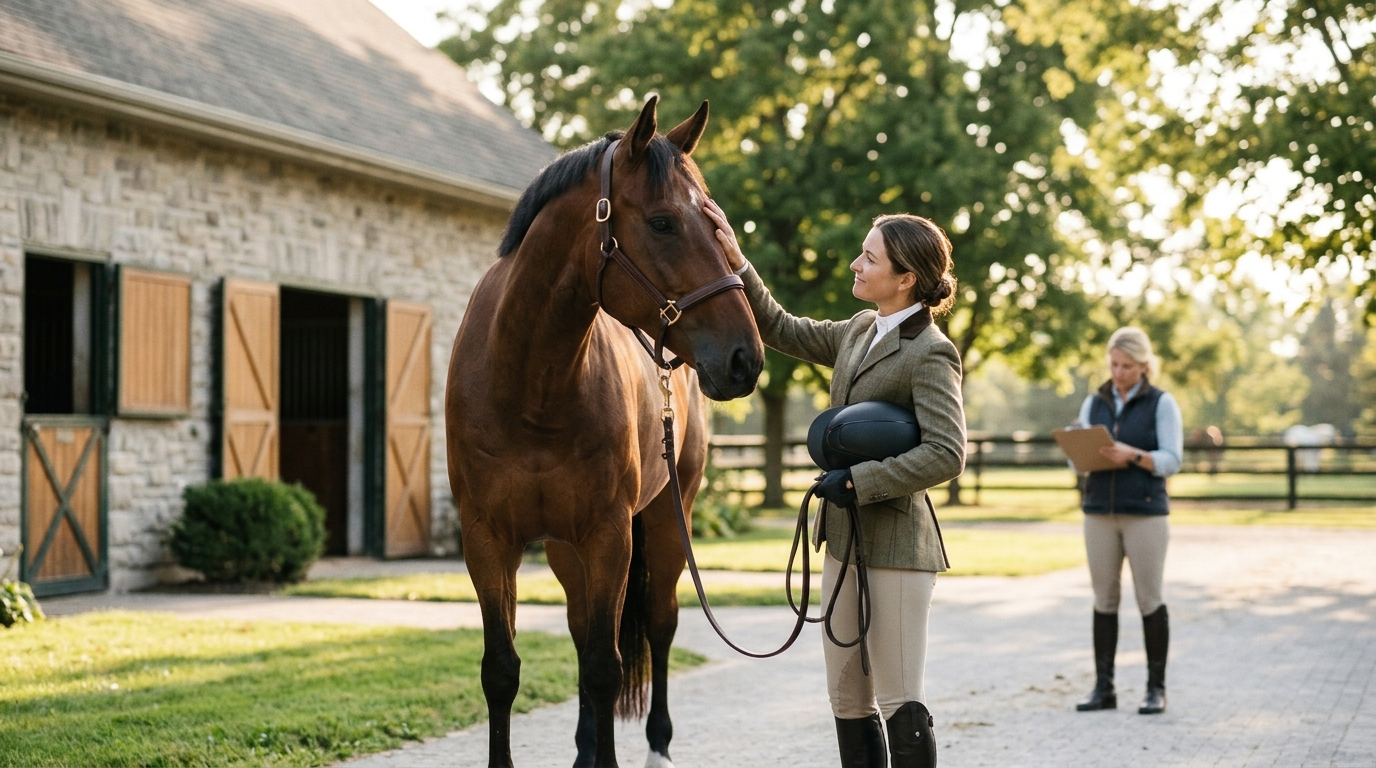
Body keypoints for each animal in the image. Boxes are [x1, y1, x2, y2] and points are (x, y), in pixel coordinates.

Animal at [445, 96, 765, 768]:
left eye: (714, 223)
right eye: (664, 223)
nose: (745, 358)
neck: (532, 387)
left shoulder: (608, 534)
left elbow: (604, 667)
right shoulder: (486, 538)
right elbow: (501, 670)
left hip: (669, 520)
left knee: (661, 621)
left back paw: (658, 744)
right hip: (565, 549)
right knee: (577, 627)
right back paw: (583, 746)